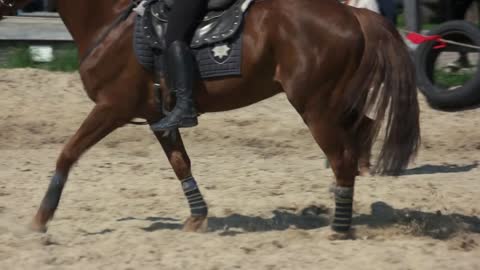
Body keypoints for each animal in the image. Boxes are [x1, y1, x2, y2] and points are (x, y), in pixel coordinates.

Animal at [0, 0, 420, 236]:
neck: (110, 22)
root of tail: (353, 13)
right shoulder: (157, 117)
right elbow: (181, 164)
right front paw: (197, 218)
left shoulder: (111, 108)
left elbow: (67, 153)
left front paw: (40, 219)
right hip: (335, 102)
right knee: (363, 129)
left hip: (316, 106)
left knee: (342, 156)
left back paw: (340, 226)